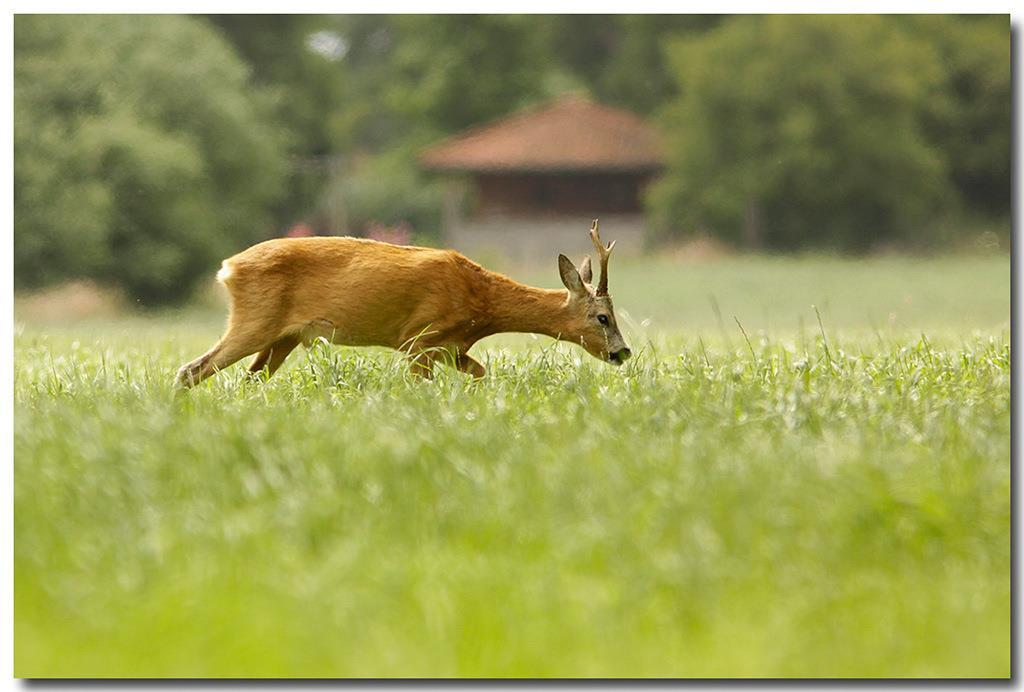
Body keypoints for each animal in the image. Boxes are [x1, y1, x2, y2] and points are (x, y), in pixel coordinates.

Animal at [172, 219, 626, 386]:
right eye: (603, 317)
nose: (623, 352)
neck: (482, 303)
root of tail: (228, 268)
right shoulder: (418, 337)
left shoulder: (451, 347)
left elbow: (481, 374)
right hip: (255, 319)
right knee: (190, 370)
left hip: (283, 337)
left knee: (249, 381)